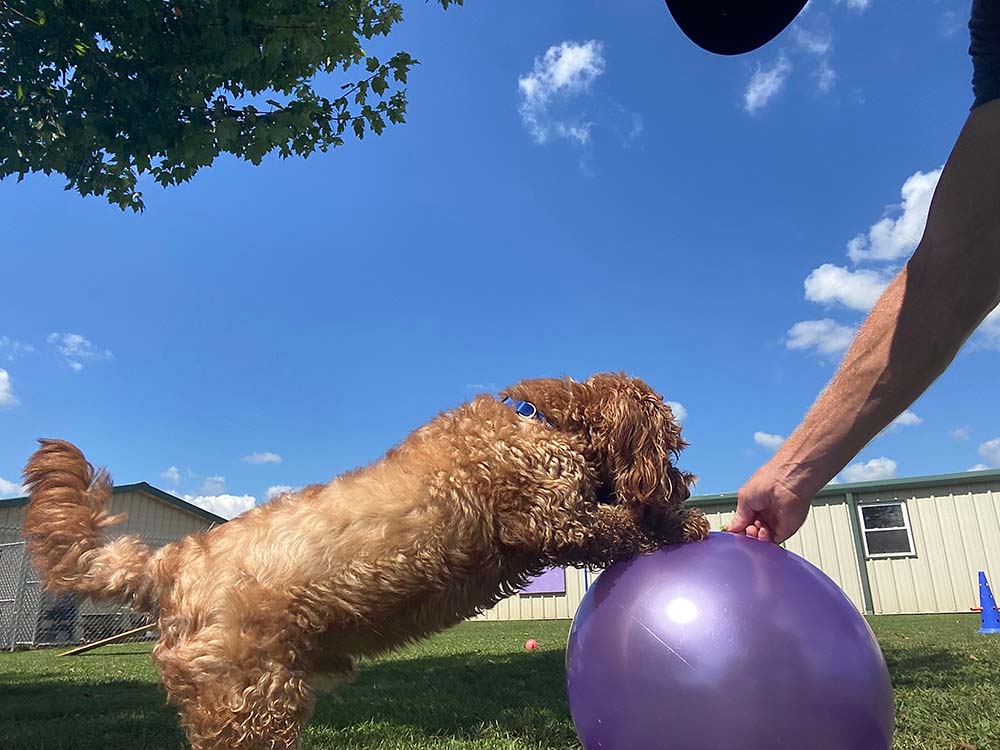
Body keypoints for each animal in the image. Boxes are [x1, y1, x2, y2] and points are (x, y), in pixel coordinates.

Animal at [25, 374, 712, 750]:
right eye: (672, 443)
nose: (687, 484)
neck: (542, 422)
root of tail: (170, 563)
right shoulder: (551, 516)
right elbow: (617, 523)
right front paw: (686, 524)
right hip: (249, 699)